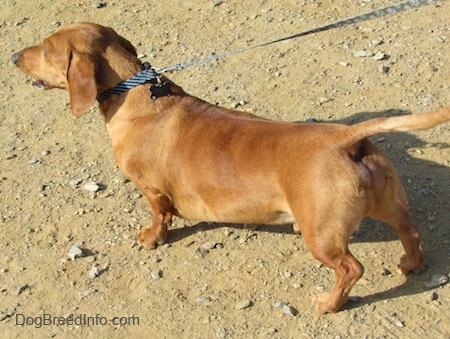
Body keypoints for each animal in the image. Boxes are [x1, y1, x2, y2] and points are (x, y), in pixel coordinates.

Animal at [12, 22, 448, 314]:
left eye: (47, 49)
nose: (14, 56)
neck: (137, 96)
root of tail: (347, 138)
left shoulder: (151, 189)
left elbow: (160, 216)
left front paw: (151, 238)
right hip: (388, 203)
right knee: (410, 232)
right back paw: (411, 264)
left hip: (321, 236)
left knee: (351, 268)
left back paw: (328, 303)